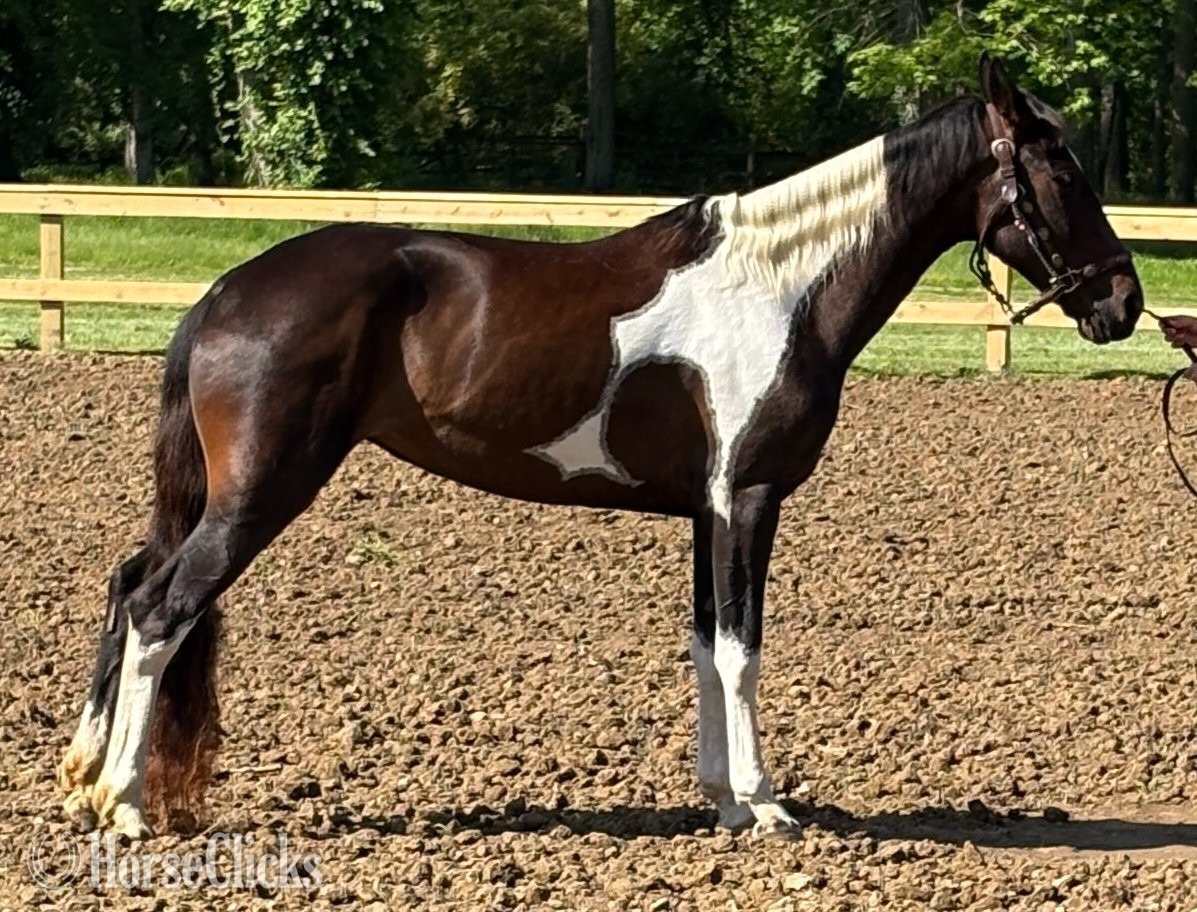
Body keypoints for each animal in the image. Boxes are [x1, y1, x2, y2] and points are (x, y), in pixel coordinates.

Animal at [58, 55, 1142, 841]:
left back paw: (82, 779)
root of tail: (226, 292)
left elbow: (707, 644)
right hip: (261, 492)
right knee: (162, 607)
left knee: (130, 583)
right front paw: (769, 806)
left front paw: (725, 800)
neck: (782, 289)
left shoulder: (707, 510)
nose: (1124, 302)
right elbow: (744, 649)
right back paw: (124, 807)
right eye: (1061, 171)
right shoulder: (747, 499)